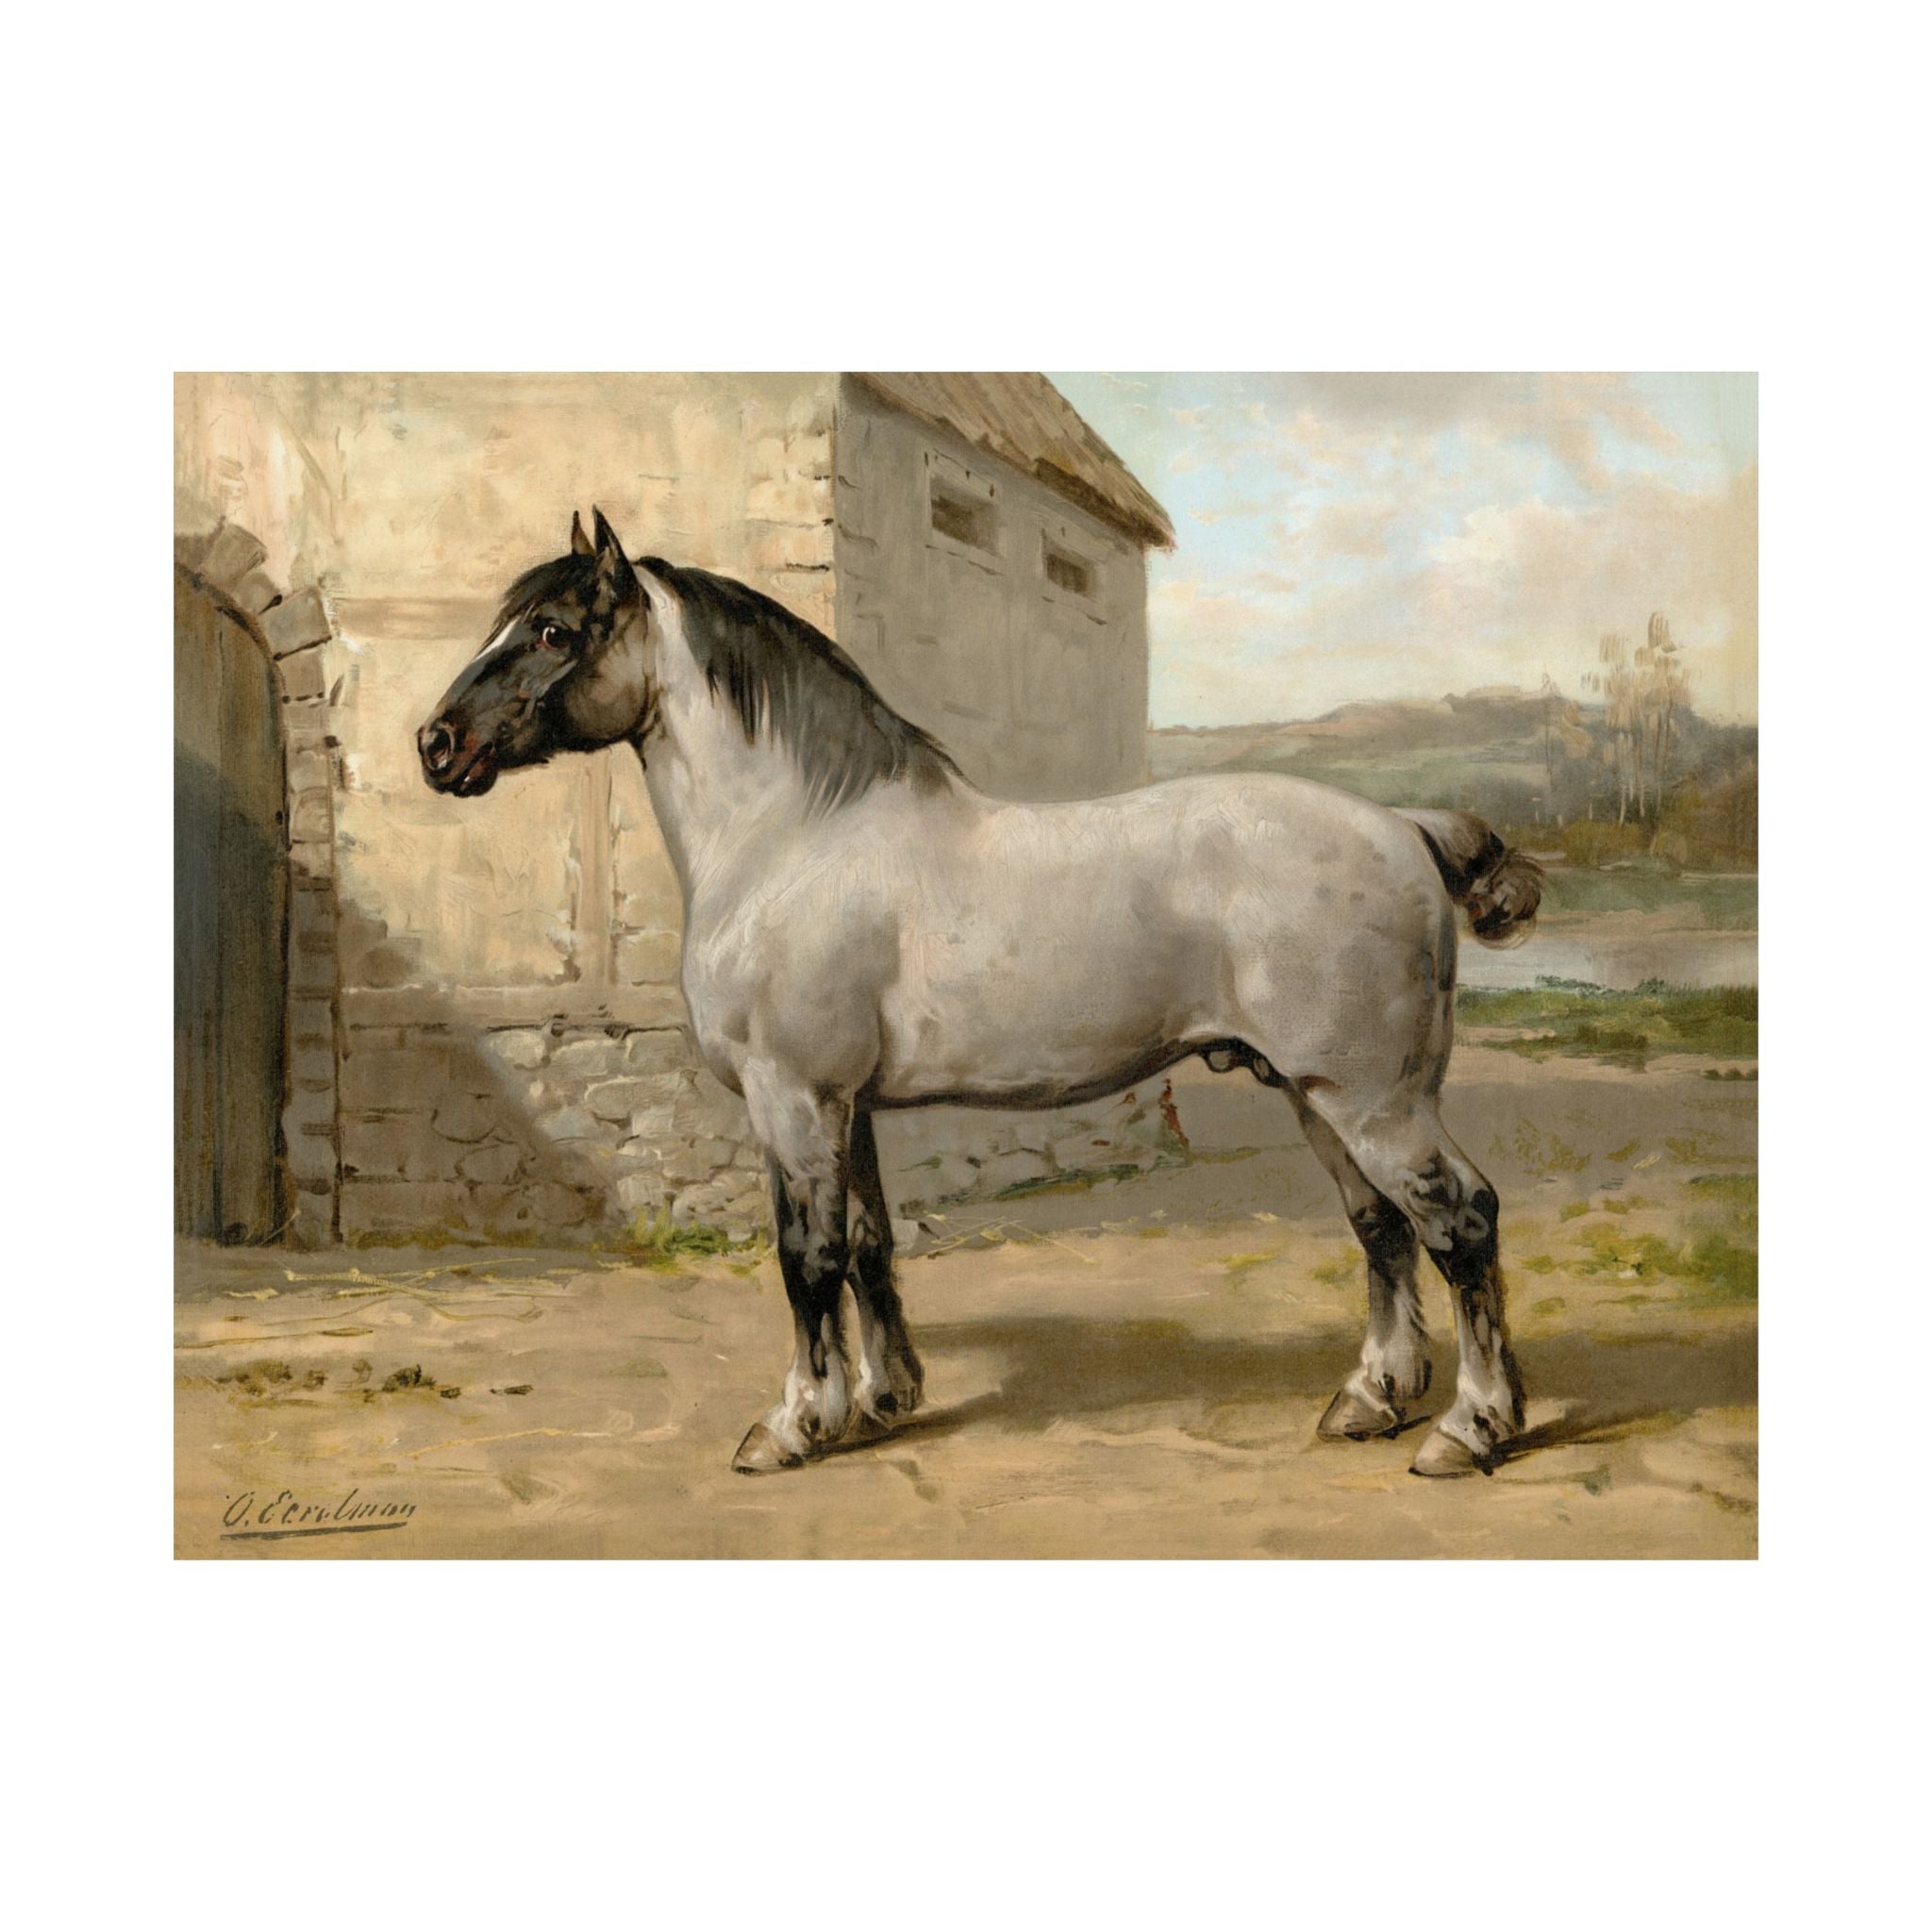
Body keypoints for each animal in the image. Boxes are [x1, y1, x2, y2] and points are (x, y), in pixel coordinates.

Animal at [419, 509, 1544, 1479]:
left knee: (1460, 1219)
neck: (795, 838)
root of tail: (1403, 827)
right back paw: (1369, 1400)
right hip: (1314, 1094)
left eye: (553, 629)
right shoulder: (847, 1107)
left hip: (1371, 1099)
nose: (436, 744)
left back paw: (1469, 1428)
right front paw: (884, 1400)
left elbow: (805, 1256)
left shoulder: (793, 1098)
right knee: (1382, 1227)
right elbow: (868, 1245)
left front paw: (795, 1424)